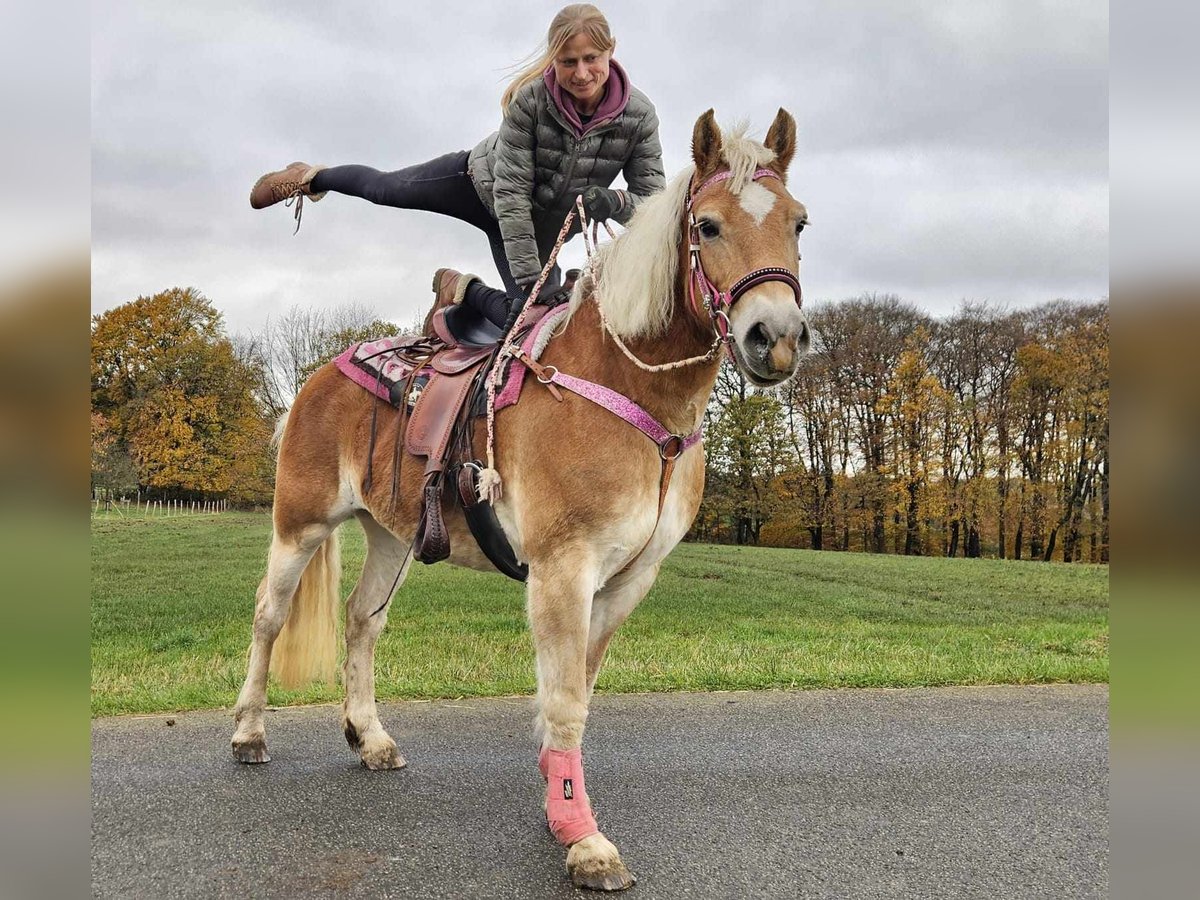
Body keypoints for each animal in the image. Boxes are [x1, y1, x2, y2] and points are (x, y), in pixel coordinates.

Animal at [229, 109, 811, 892]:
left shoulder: (628, 580)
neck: (624, 387)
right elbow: (563, 699)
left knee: (361, 621)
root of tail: (320, 375)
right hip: (301, 523)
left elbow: (579, 691)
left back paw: (370, 736)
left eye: (799, 223)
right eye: (710, 226)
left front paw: (558, 801)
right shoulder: (564, 569)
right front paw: (583, 836)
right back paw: (248, 731)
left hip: (392, 535)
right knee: (269, 615)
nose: (775, 338)